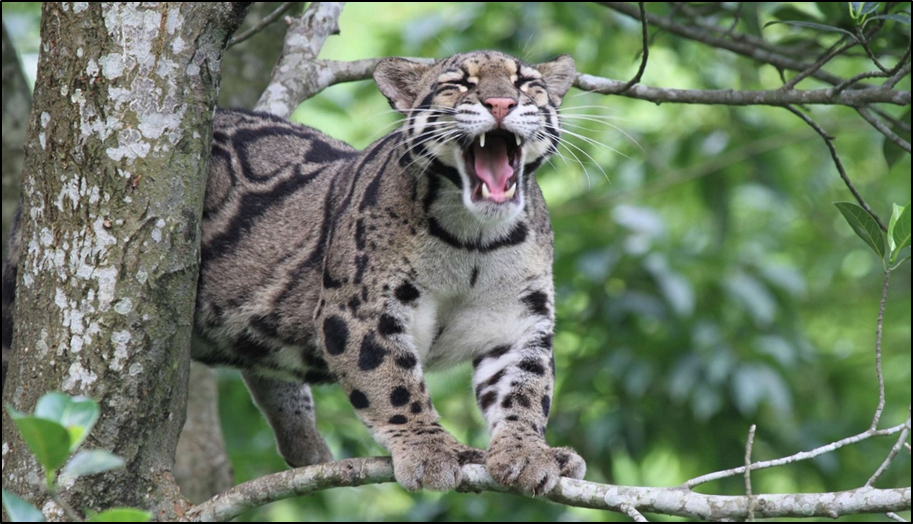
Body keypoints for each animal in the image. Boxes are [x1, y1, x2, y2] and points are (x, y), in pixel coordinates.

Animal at [2, 50, 586, 495]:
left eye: (527, 84)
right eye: (456, 84)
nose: (501, 103)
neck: (473, 239)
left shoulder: (518, 320)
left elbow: (525, 388)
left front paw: (529, 452)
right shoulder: (360, 310)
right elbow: (392, 382)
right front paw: (430, 448)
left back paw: (307, 448)